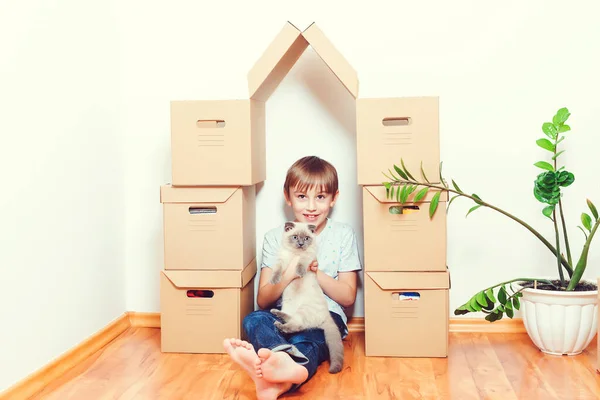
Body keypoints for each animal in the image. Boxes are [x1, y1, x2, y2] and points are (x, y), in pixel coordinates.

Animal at [270, 222, 344, 376]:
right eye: (295, 237)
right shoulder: (281, 260)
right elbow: (277, 270)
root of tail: (327, 316)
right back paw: (276, 314)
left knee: (297, 326)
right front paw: (274, 280)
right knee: (290, 319)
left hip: (303, 310)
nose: (300, 244)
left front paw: (299, 272)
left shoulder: (308, 258)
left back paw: (279, 326)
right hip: (288, 306)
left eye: (306, 238)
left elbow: (301, 264)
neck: (295, 254)